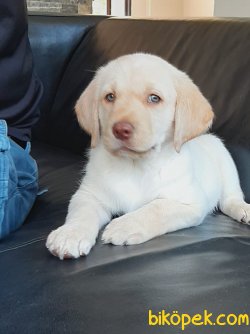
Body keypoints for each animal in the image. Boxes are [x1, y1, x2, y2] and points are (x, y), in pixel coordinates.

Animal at [46, 52, 249, 260]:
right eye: (110, 97)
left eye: (154, 98)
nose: (120, 130)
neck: (135, 166)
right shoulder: (88, 195)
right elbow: (82, 213)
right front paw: (69, 234)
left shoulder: (190, 202)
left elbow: (155, 208)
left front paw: (124, 225)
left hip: (225, 162)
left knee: (230, 198)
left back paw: (244, 209)